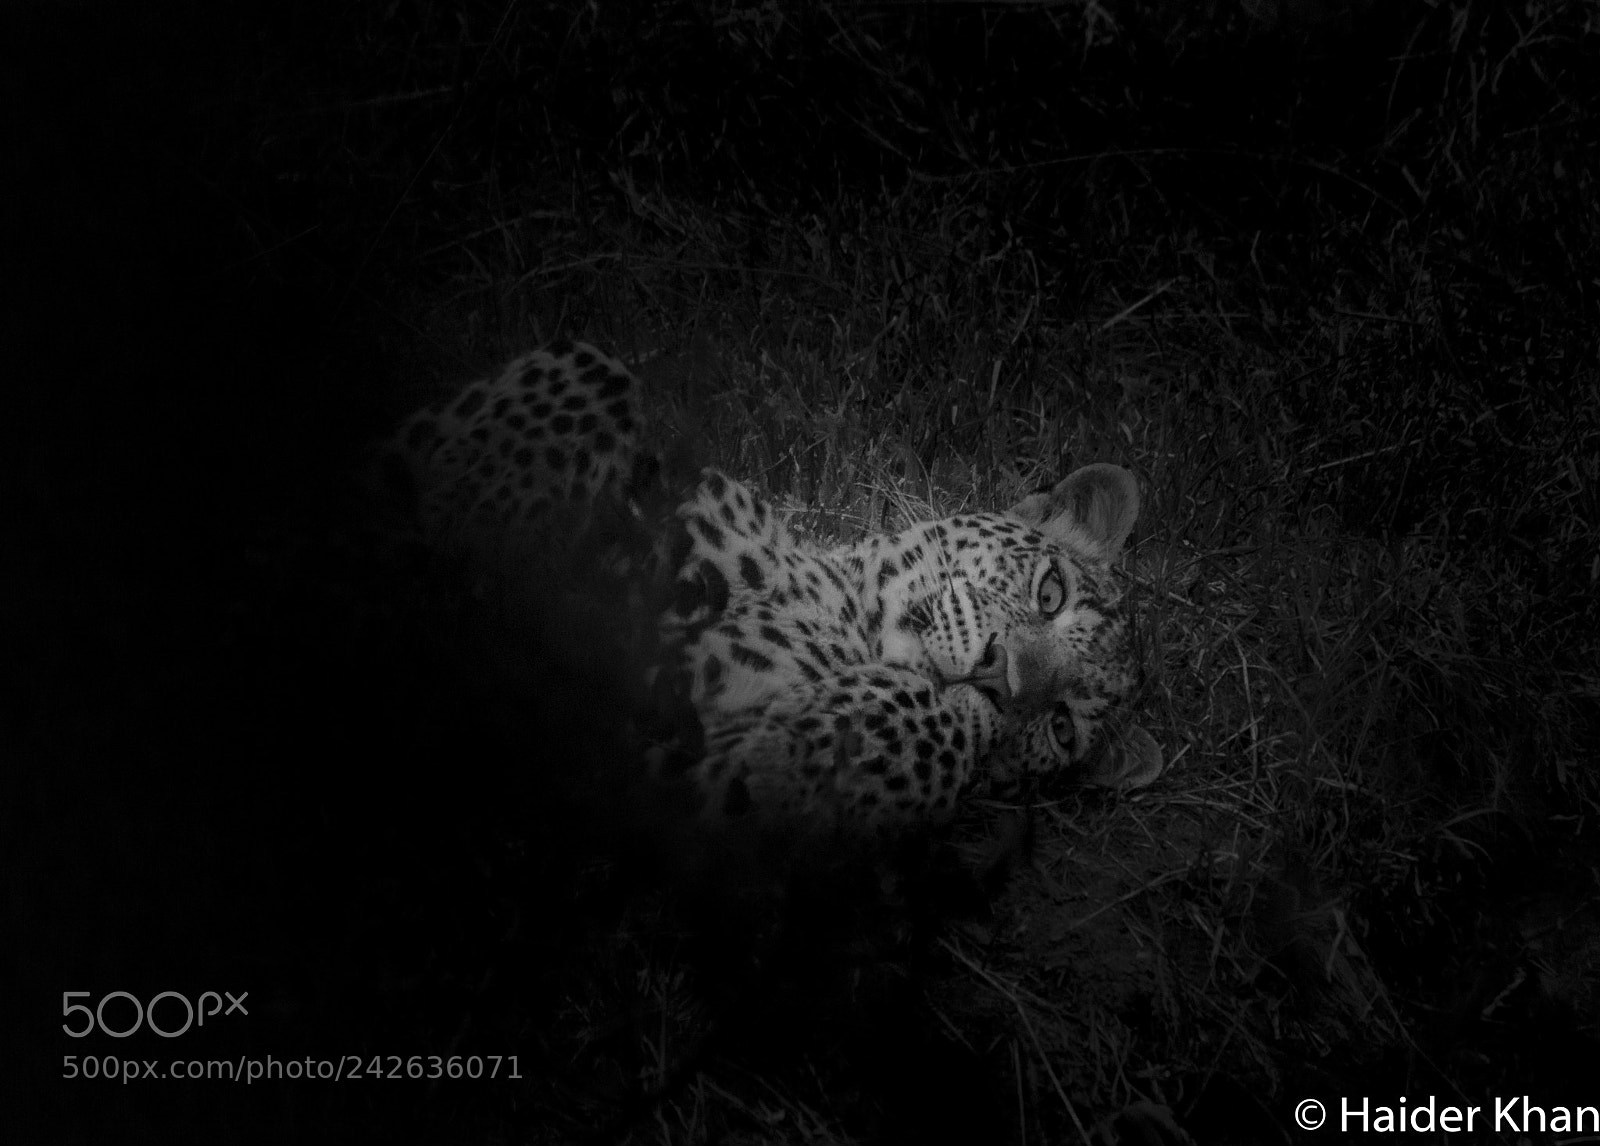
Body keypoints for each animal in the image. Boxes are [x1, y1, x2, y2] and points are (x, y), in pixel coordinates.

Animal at [378, 339, 1163, 841]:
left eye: (1061, 728)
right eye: (1052, 593)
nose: (1004, 679)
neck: (835, 609)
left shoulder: (674, 798)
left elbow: (918, 737)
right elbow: (593, 366)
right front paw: (473, 535)